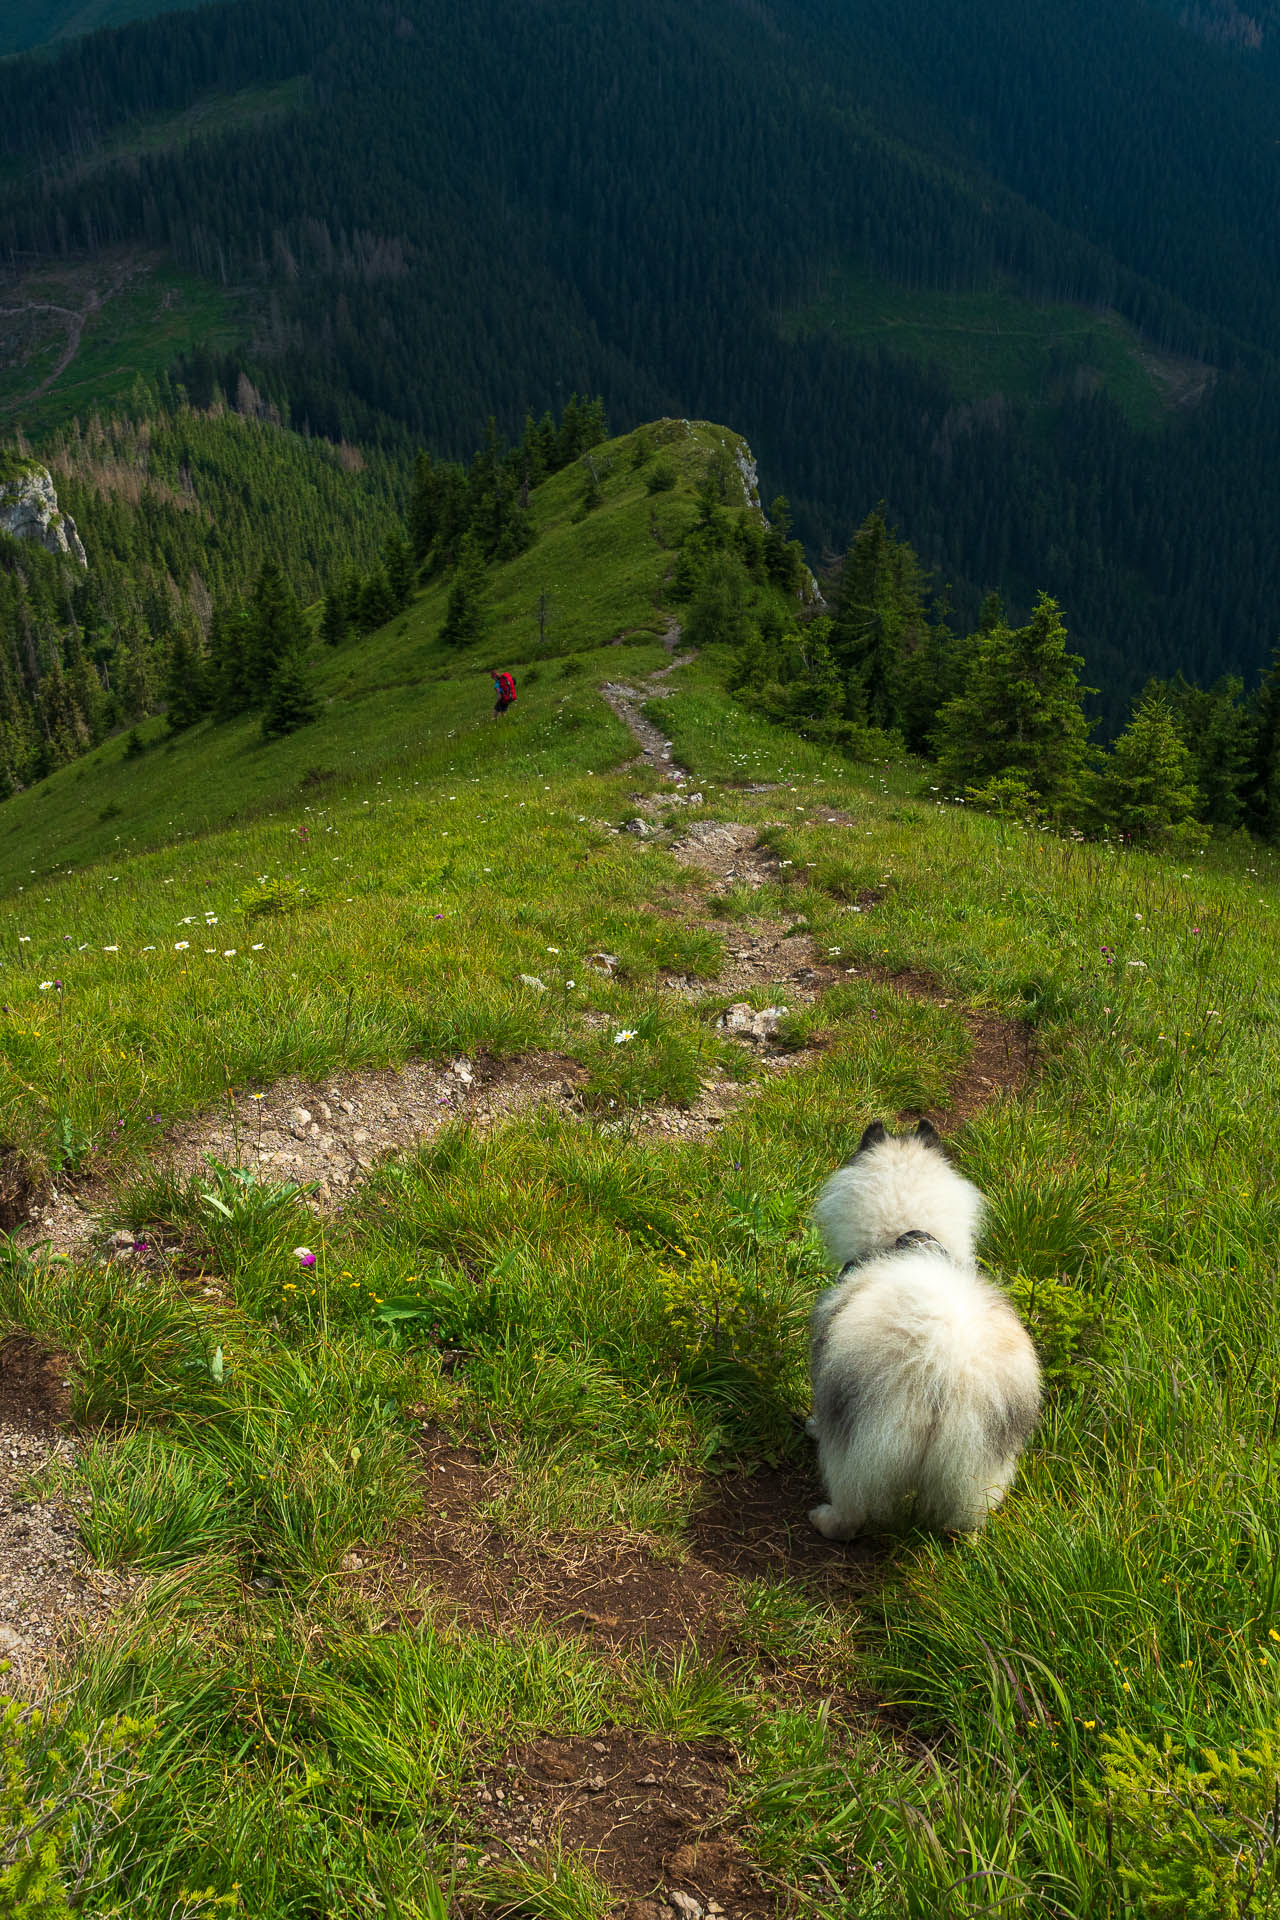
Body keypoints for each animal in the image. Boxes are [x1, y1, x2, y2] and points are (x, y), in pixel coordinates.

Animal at [809, 1121, 1043, 1536]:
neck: (908, 1232)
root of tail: (941, 1369)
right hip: (984, 1467)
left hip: (855, 1446)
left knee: (851, 1510)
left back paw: (826, 1519)